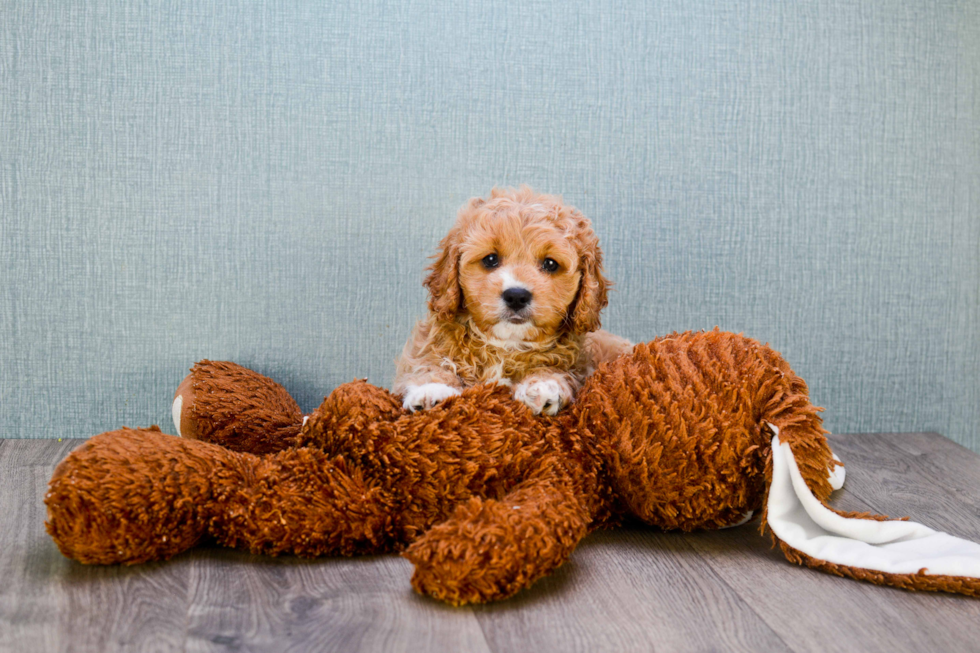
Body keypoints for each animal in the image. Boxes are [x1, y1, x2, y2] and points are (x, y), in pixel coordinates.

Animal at [394, 186, 632, 416]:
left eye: (550, 264)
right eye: (490, 259)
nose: (516, 296)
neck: (505, 346)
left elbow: (554, 368)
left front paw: (543, 385)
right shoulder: (428, 344)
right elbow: (429, 364)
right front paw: (432, 389)